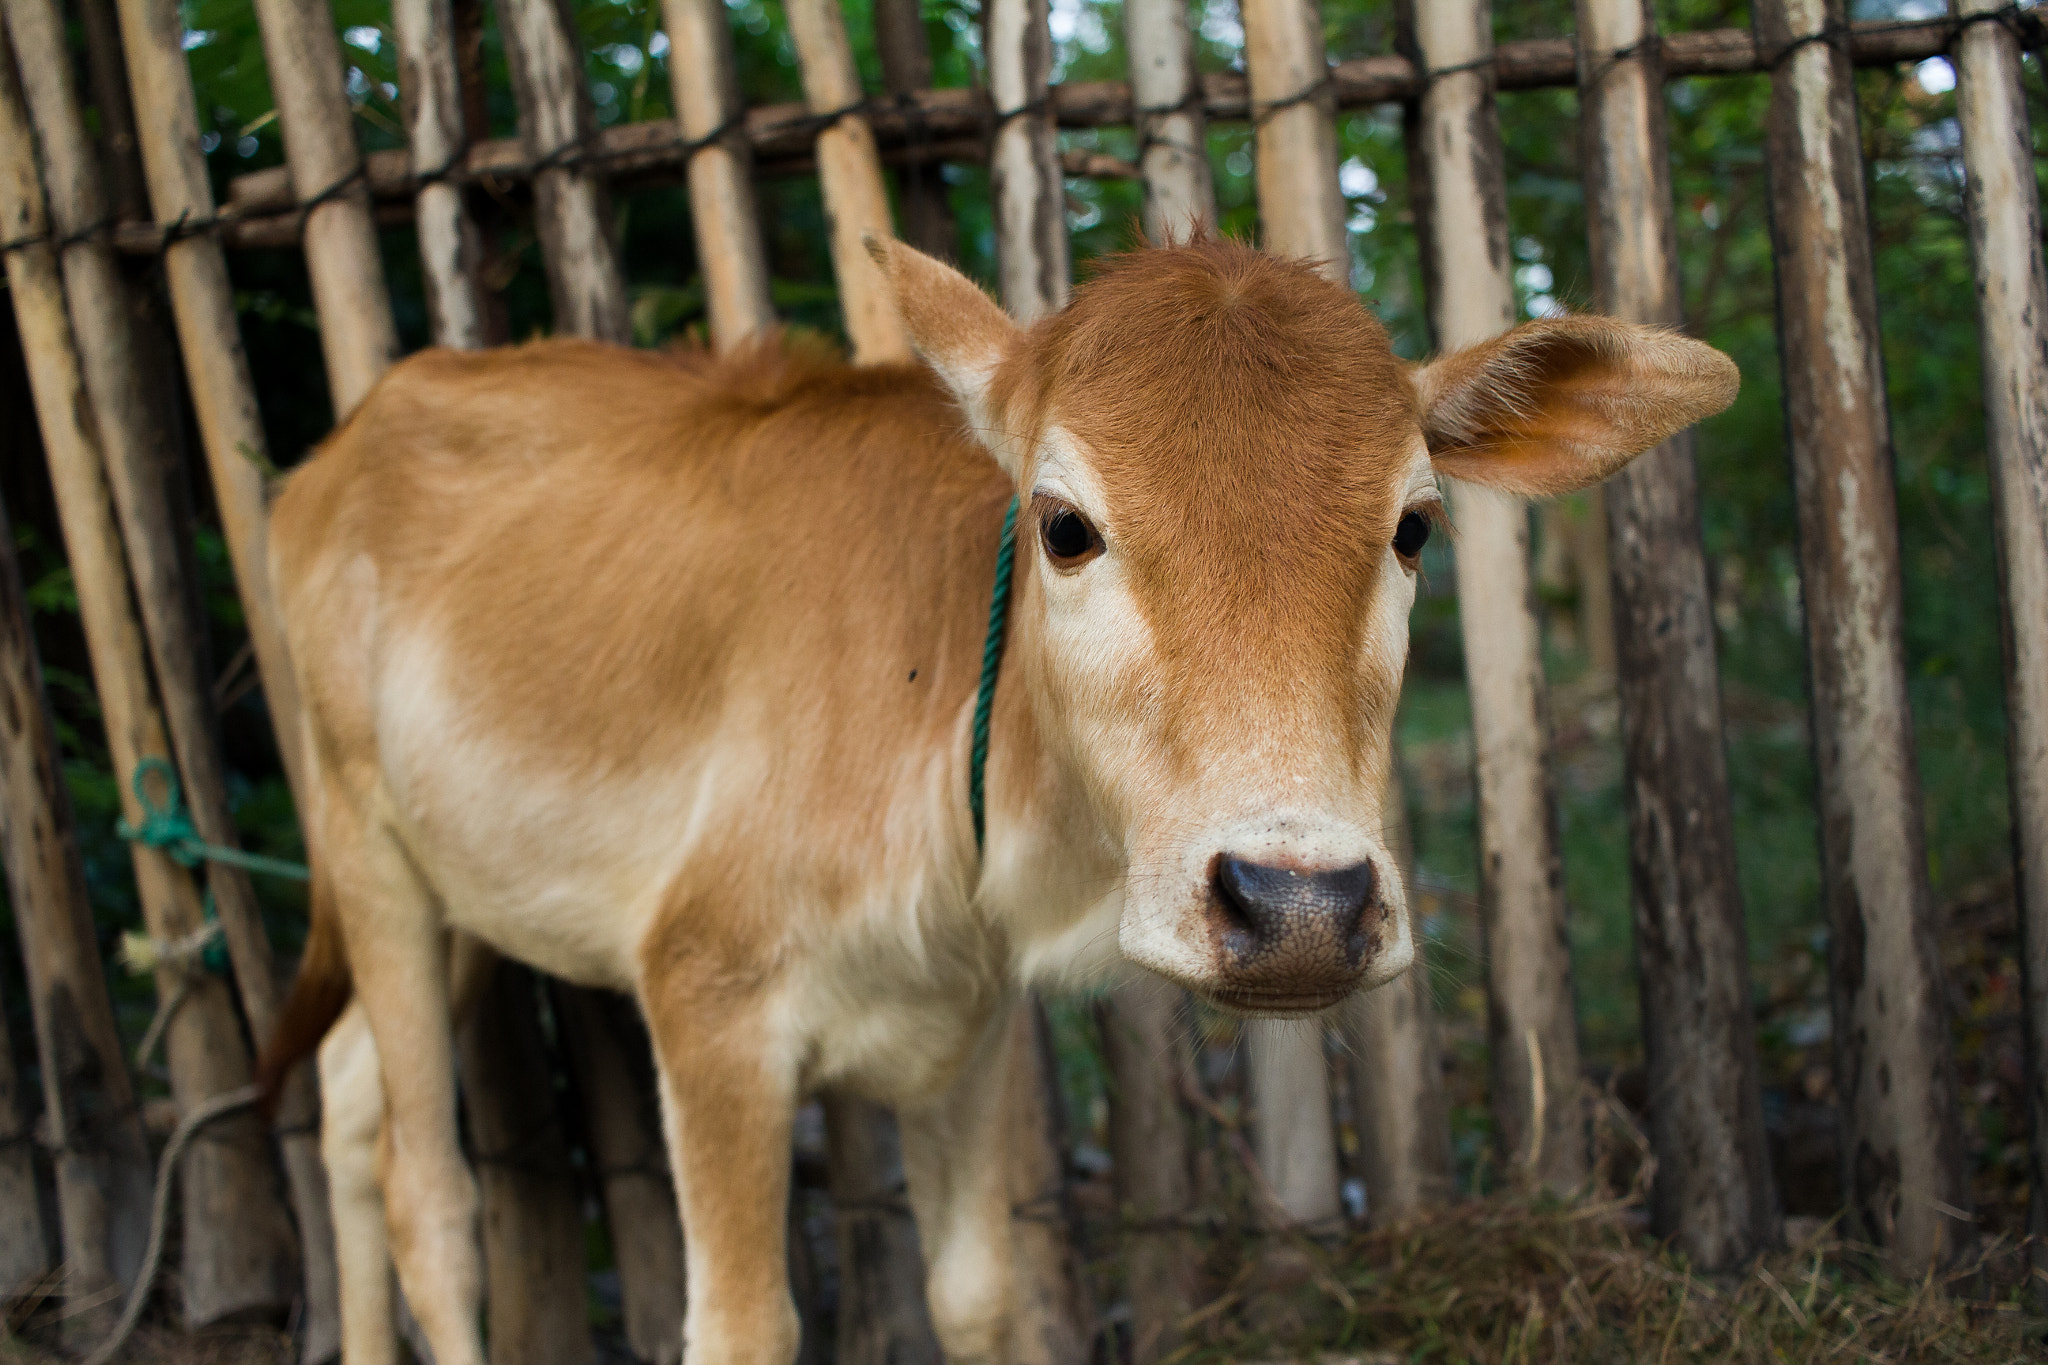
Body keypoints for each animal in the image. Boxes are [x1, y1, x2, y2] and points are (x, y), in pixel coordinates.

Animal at [257, 236, 1737, 1365]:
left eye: (1414, 526)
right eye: (1065, 526)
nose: (1297, 907)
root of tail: (340, 444)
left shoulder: (960, 1026)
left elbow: (974, 1297)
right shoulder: (709, 998)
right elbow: (743, 1326)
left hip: (459, 893)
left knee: (343, 1101)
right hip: (361, 841)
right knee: (427, 1196)